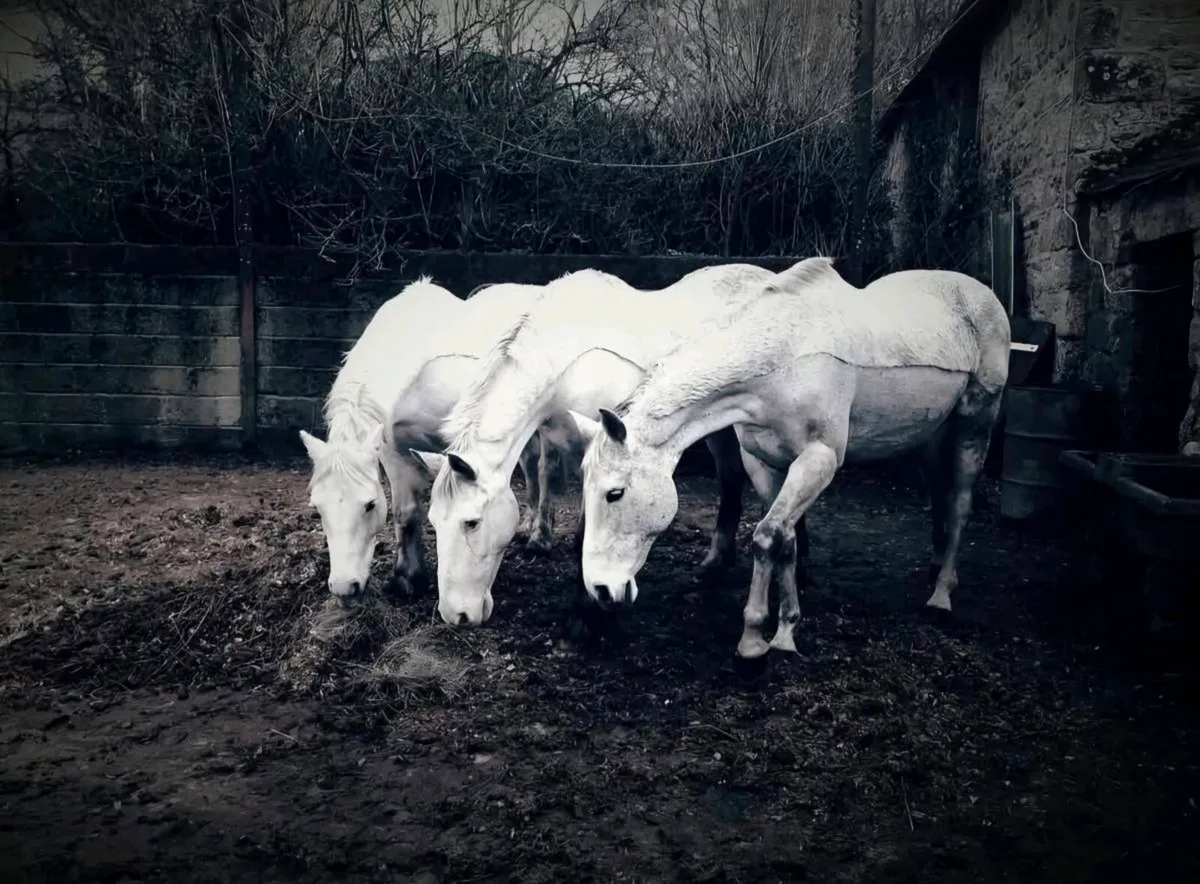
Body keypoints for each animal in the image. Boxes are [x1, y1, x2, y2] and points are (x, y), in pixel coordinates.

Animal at [298, 276, 566, 608]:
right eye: (318, 508)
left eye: (369, 504)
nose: (345, 589)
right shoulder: (391, 449)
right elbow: (406, 512)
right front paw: (408, 578)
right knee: (529, 462)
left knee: (546, 467)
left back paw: (541, 537)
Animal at [407, 262, 787, 628]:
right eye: (433, 521)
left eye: (471, 523)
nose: (456, 615)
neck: (575, 359)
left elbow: (586, 531)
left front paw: (588, 611)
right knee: (731, 478)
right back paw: (717, 562)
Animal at [567, 257, 1011, 660]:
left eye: (615, 493)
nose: (601, 590)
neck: (782, 360)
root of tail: (981, 293)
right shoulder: (765, 461)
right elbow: (787, 538)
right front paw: (784, 629)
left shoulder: (819, 460)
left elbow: (766, 537)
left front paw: (752, 639)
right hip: (931, 434)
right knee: (939, 491)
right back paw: (935, 565)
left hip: (975, 424)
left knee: (960, 504)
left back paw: (941, 593)